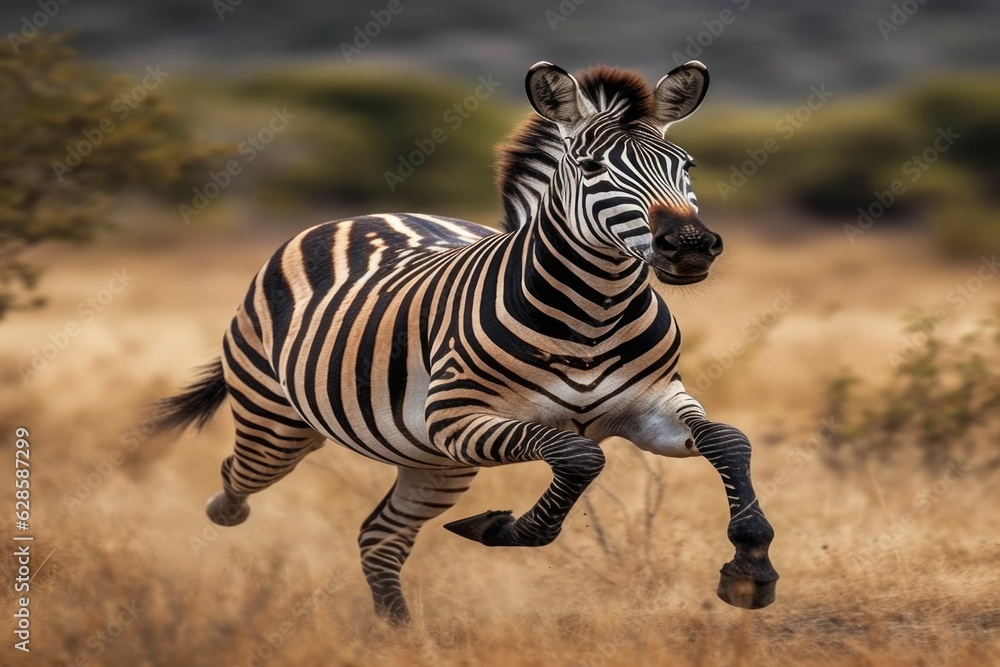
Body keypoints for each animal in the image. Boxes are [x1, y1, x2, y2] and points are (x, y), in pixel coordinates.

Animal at [158, 60, 778, 624]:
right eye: (591, 166)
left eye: (685, 165)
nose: (690, 245)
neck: (593, 316)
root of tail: (370, 213)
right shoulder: (456, 416)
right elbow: (579, 454)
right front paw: (501, 526)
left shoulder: (652, 405)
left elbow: (729, 440)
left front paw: (750, 565)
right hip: (277, 426)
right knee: (238, 477)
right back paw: (225, 513)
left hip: (432, 463)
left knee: (380, 537)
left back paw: (401, 639)